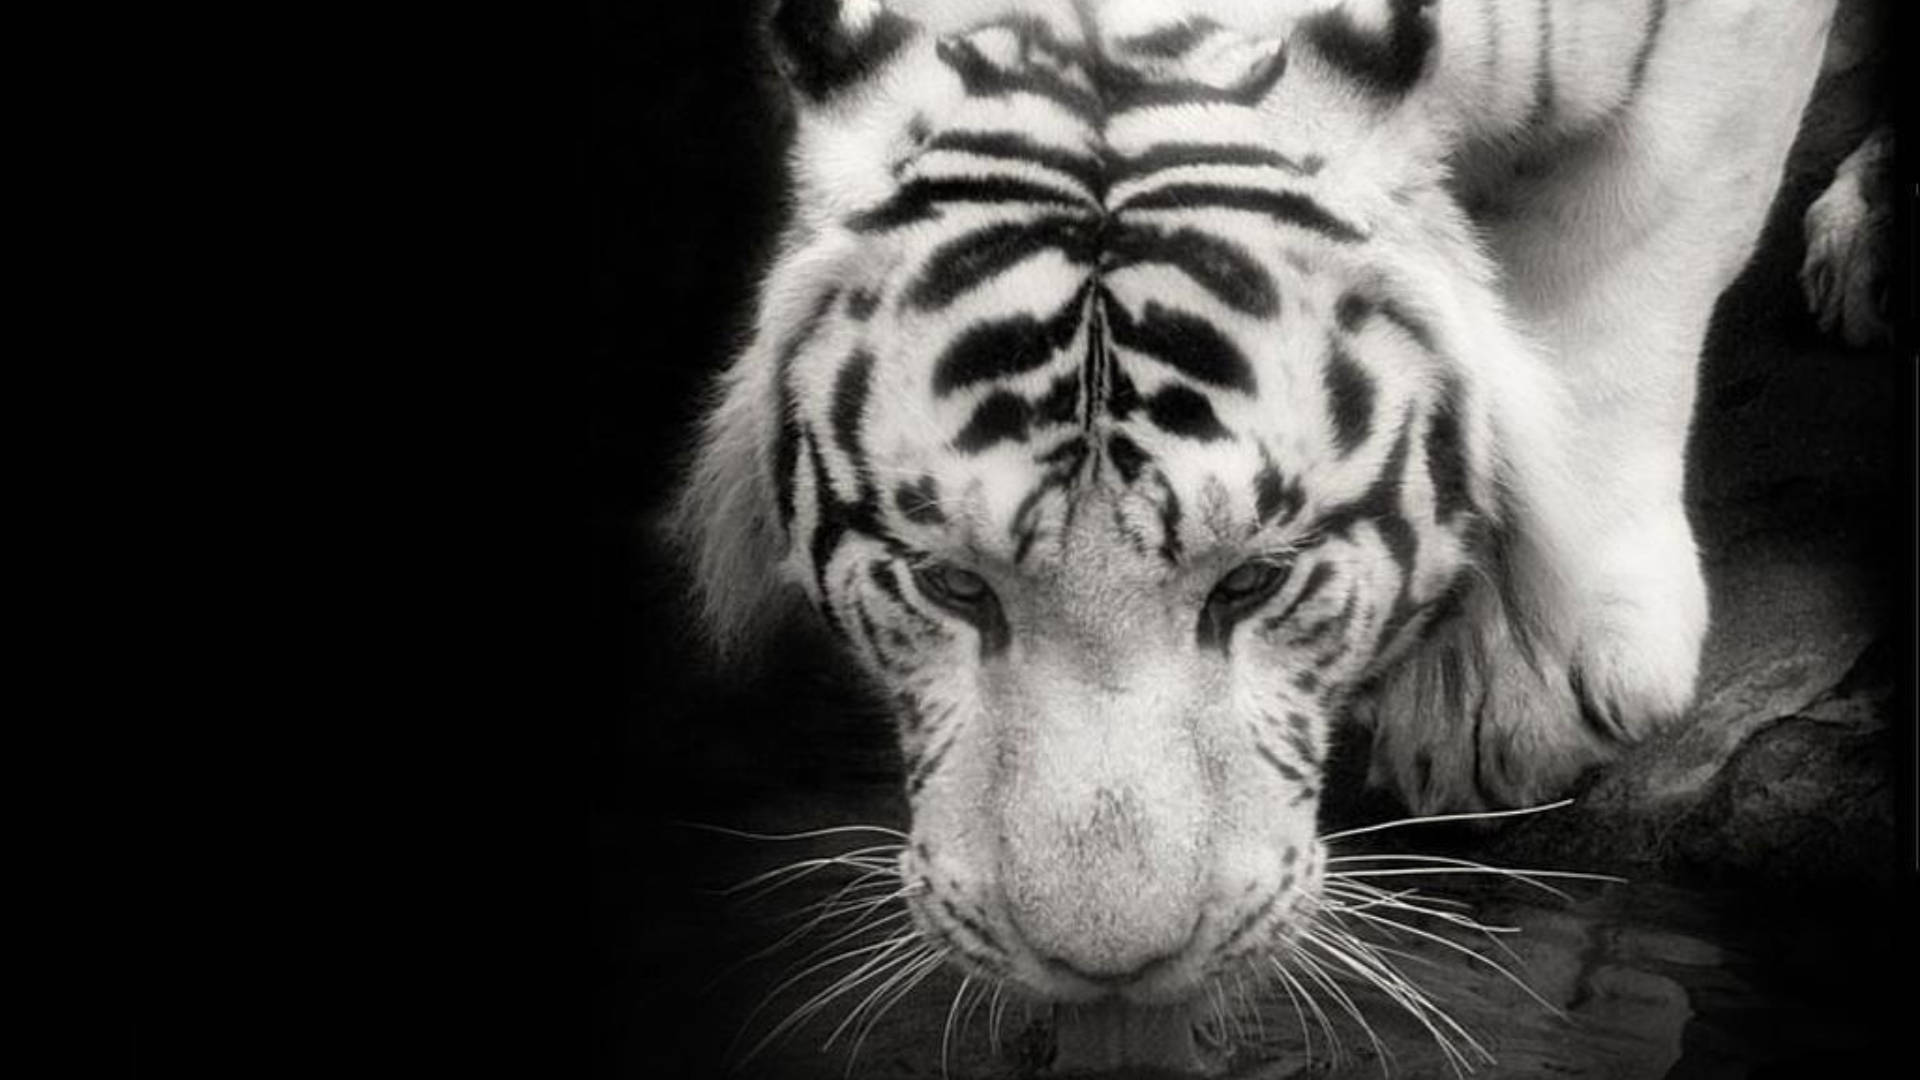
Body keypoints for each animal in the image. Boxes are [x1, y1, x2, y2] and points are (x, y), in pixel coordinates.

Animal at [669, 0, 1861, 1068]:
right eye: (951, 584)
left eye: (1253, 581)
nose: (1110, 971)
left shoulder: (1714, 63)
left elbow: (1621, 252)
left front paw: (1515, 684)